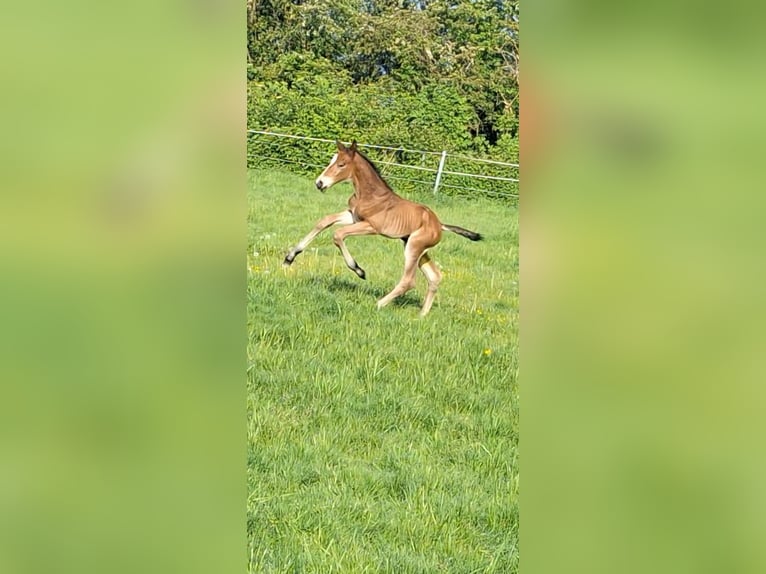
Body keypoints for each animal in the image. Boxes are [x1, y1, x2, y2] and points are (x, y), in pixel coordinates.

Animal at [284, 141, 484, 318]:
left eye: (341, 164)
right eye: (332, 160)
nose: (319, 183)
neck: (371, 195)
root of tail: (439, 224)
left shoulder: (371, 226)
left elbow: (338, 234)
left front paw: (359, 270)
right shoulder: (353, 216)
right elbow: (324, 221)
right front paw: (289, 257)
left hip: (414, 247)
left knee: (409, 280)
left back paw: (379, 303)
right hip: (414, 246)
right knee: (434, 276)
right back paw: (421, 315)